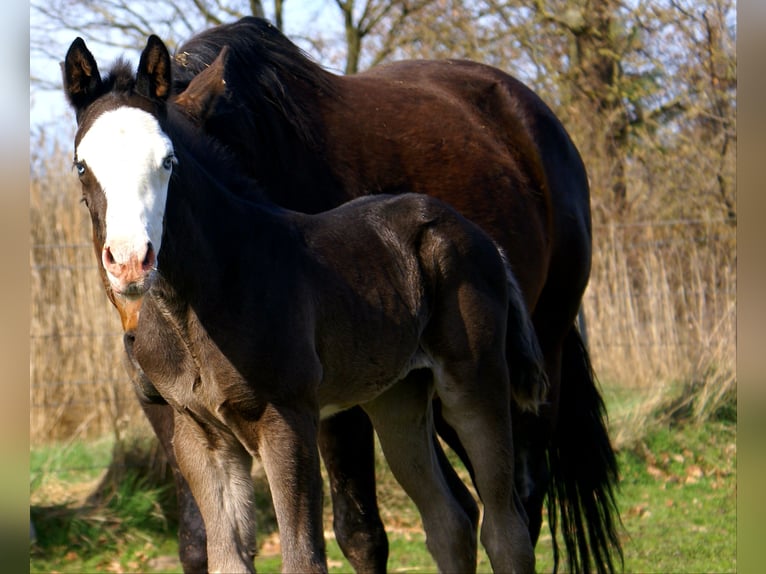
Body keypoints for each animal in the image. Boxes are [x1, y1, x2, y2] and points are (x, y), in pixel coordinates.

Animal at [64, 16, 622, 574]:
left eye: (168, 161)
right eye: (81, 165)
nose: (131, 262)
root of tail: (480, 237)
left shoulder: (291, 418)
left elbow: (322, 550)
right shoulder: (197, 433)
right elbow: (217, 554)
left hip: (484, 382)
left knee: (510, 522)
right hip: (401, 398)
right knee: (451, 521)